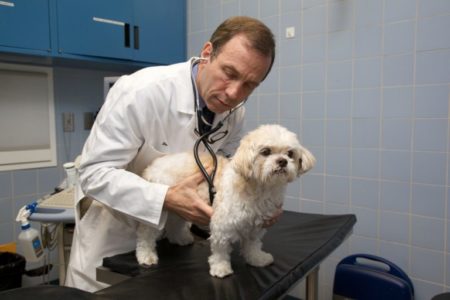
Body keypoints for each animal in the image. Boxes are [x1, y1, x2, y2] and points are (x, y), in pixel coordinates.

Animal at [135, 123, 314, 276]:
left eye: (290, 153)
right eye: (265, 152)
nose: (282, 161)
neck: (260, 188)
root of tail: (153, 166)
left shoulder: (256, 225)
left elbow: (253, 244)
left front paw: (257, 259)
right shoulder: (222, 225)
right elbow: (220, 249)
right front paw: (221, 268)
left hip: (180, 204)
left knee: (175, 222)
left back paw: (180, 238)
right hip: (164, 205)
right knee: (146, 232)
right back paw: (146, 255)